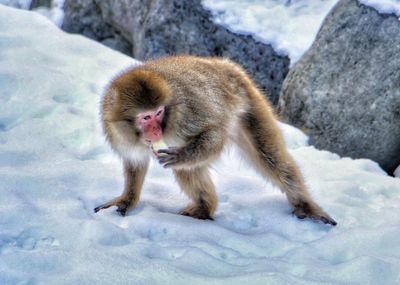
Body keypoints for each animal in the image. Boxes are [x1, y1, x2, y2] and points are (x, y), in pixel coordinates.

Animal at [94, 54, 338, 225]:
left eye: (159, 113)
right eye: (146, 117)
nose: (156, 131)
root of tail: (222, 64)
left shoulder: (183, 117)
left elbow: (214, 132)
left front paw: (183, 155)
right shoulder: (117, 132)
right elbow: (135, 163)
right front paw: (126, 200)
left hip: (250, 101)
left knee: (271, 158)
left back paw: (305, 205)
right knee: (190, 168)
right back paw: (204, 208)